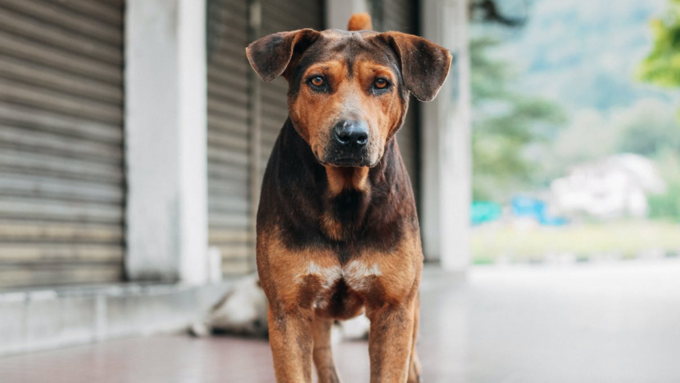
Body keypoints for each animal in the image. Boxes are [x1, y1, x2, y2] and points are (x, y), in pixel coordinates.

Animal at [244, 13, 452, 382]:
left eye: (382, 83)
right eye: (317, 81)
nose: (352, 135)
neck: (345, 195)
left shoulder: (395, 307)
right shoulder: (288, 309)